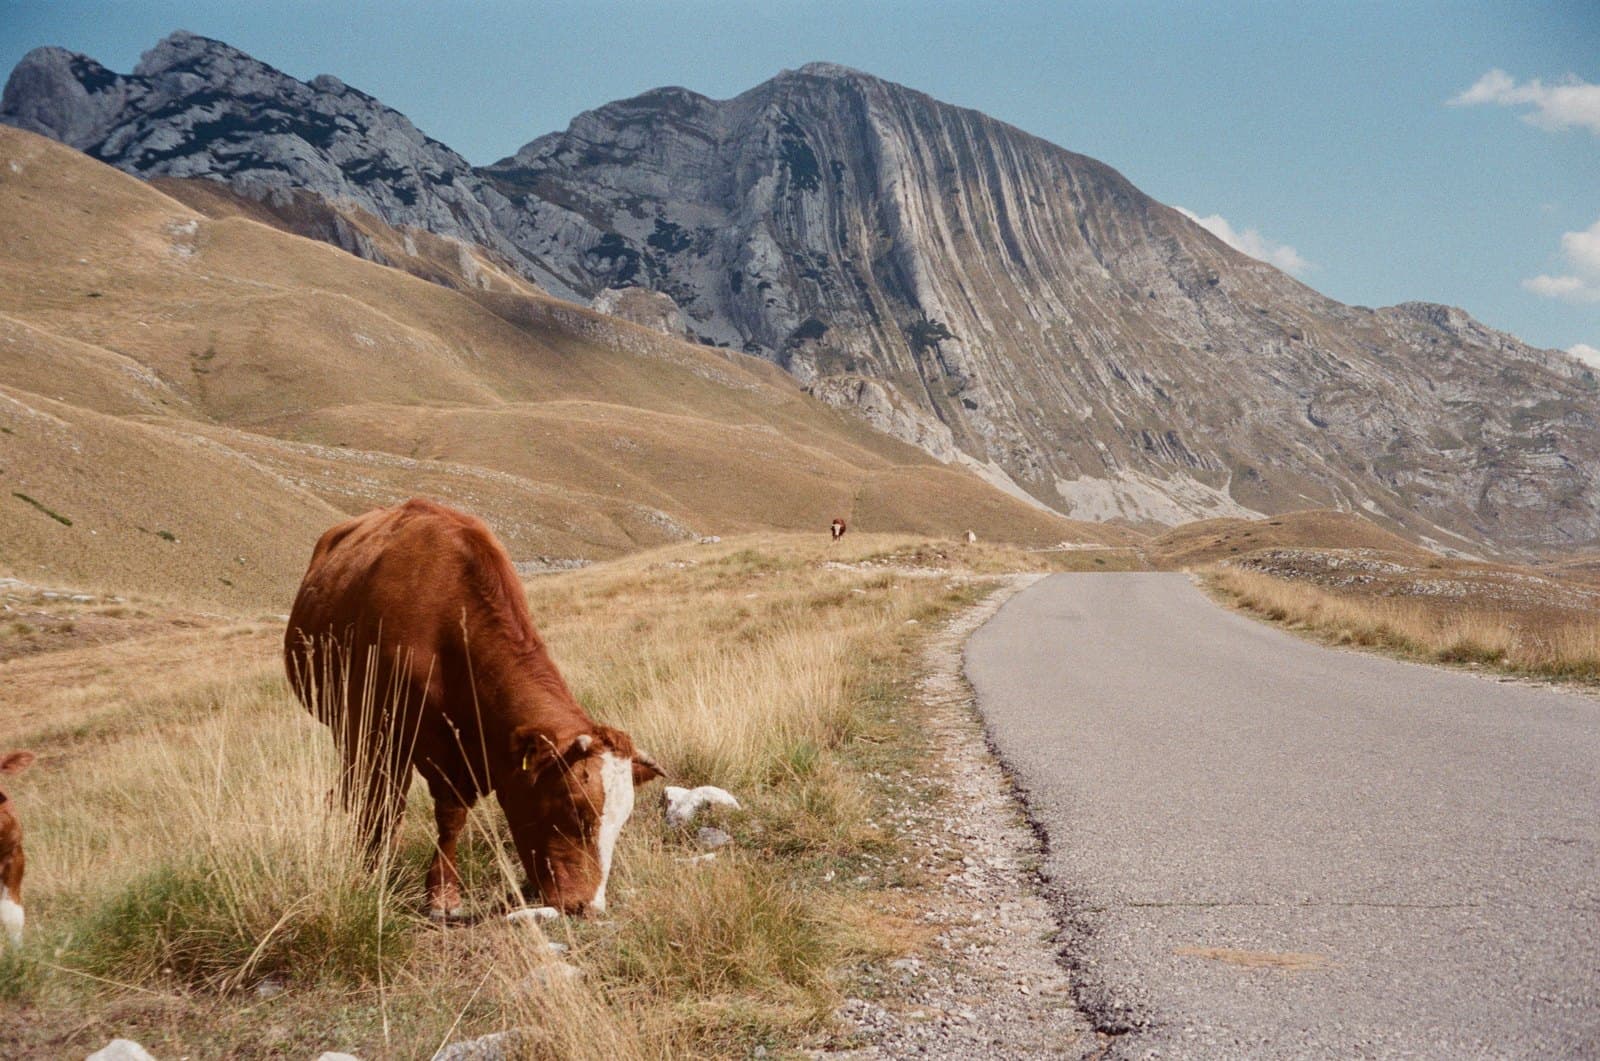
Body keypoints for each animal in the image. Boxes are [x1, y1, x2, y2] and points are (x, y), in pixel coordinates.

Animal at [284, 499, 663, 920]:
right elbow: (382, 805)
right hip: (345, 723)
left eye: (622, 820)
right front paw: (371, 872)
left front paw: (442, 894)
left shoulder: (461, 755)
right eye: (572, 807)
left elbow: (451, 816)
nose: (589, 906)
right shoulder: (379, 731)